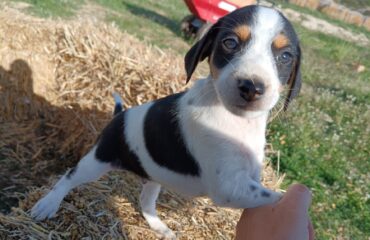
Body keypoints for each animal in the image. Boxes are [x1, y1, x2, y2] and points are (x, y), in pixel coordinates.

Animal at [31, 5, 302, 240]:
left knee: (145, 202)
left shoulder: (248, 176)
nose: (251, 87)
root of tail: (120, 114)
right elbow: (276, 197)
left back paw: (159, 227)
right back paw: (47, 204)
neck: (236, 121)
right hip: (98, 160)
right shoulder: (229, 186)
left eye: (285, 56)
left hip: (154, 175)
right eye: (230, 42)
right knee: (69, 176)